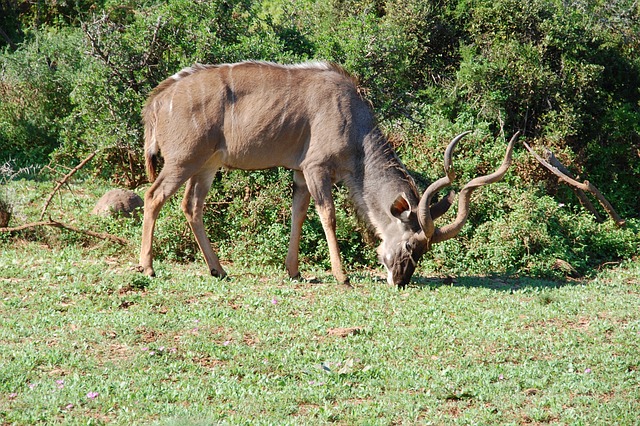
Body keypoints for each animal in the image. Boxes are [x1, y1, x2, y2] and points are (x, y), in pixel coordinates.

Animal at [138, 60, 516, 286]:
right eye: (411, 245)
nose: (400, 280)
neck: (355, 124)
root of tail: (156, 102)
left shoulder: (299, 175)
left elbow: (299, 213)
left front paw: (294, 271)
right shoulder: (316, 168)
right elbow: (328, 215)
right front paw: (342, 276)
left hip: (207, 165)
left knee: (191, 206)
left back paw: (218, 269)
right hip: (183, 161)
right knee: (153, 195)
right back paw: (148, 267)